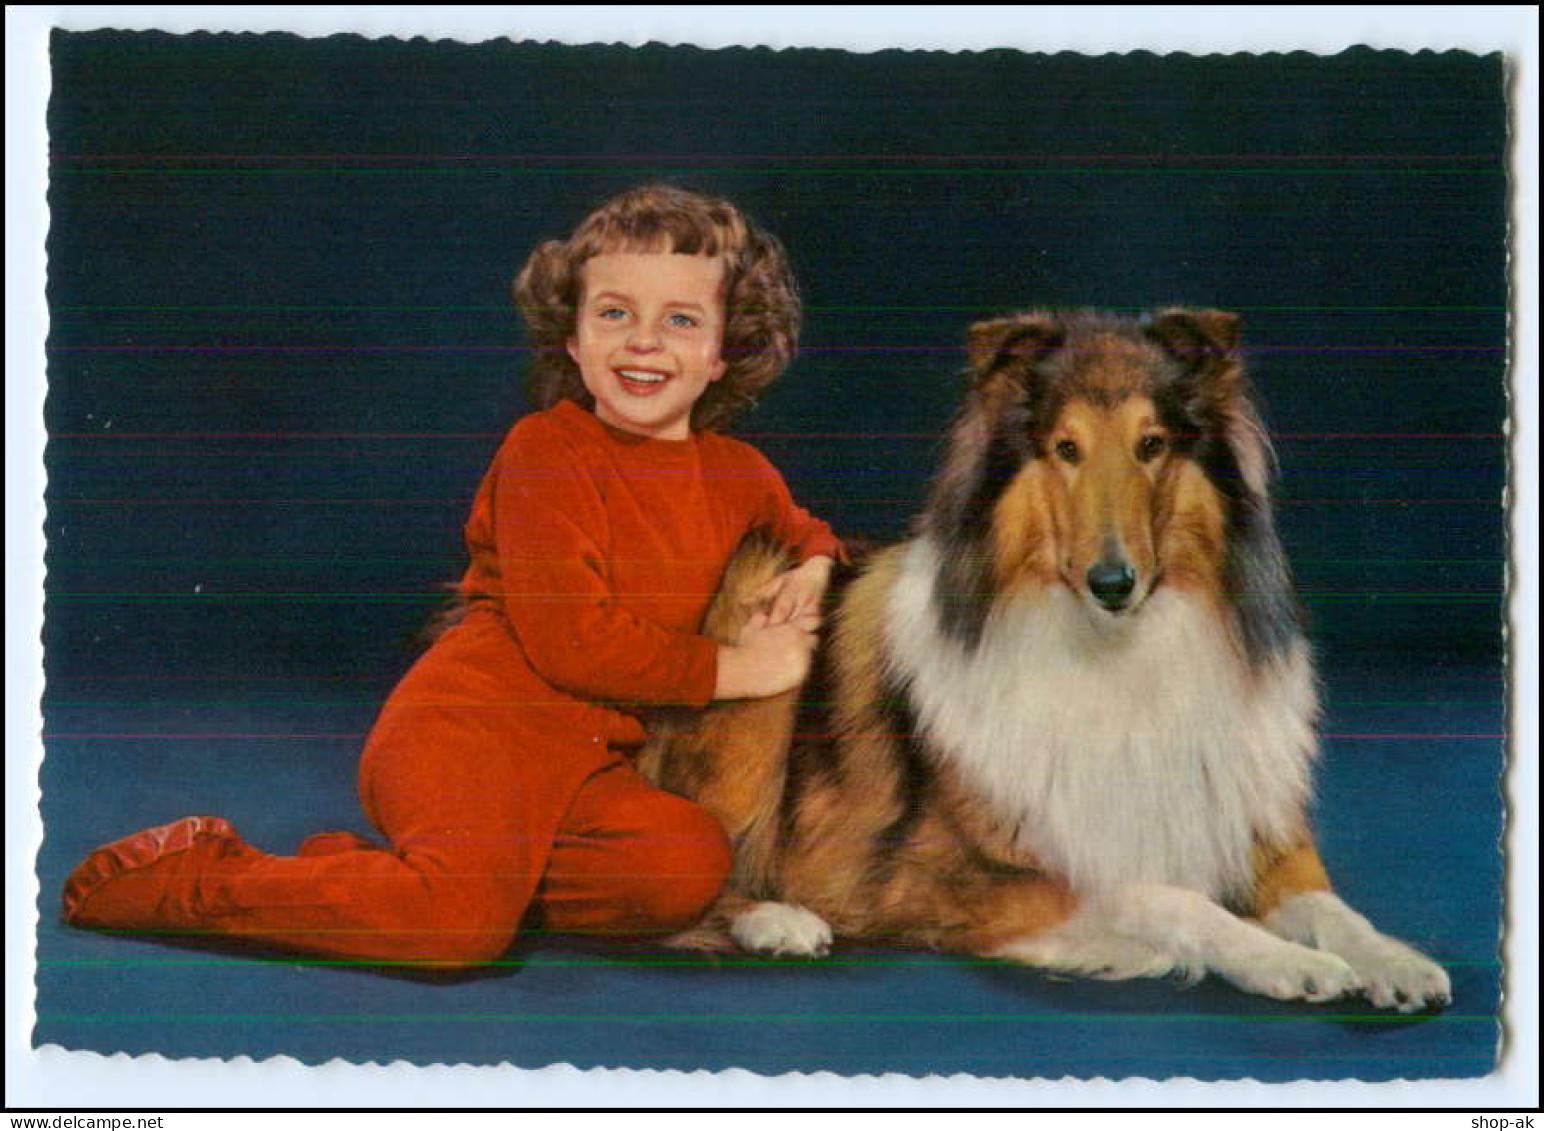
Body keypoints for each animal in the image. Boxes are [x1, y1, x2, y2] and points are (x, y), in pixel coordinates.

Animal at [636, 303, 1445, 1012]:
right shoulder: (941, 878)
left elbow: (1328, 905)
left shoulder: (1250, 827)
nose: (1113, 582)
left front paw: (1395, 960)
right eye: (1066, 449)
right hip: (757, 601)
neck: (1123, 658)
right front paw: (1286, 960)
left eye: (1152, 445)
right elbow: (1161, 894)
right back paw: (779, 921)